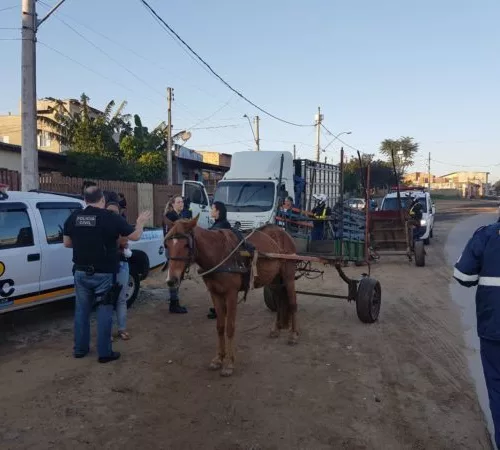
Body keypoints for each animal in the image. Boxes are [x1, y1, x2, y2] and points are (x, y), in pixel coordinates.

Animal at [164, 216, 296, 378]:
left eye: (186, 245)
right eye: (166, 244)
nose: (171, 280)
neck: (218, 253)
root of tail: (283, 232)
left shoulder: (231, 294)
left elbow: (230, 328)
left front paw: (229, 364)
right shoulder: (215, 294)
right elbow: (220, 327)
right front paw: (219, 358)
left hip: (288, 278)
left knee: (292, 303)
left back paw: (293, 335)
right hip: (274, 280)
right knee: (279, 300)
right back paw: (276, 329)